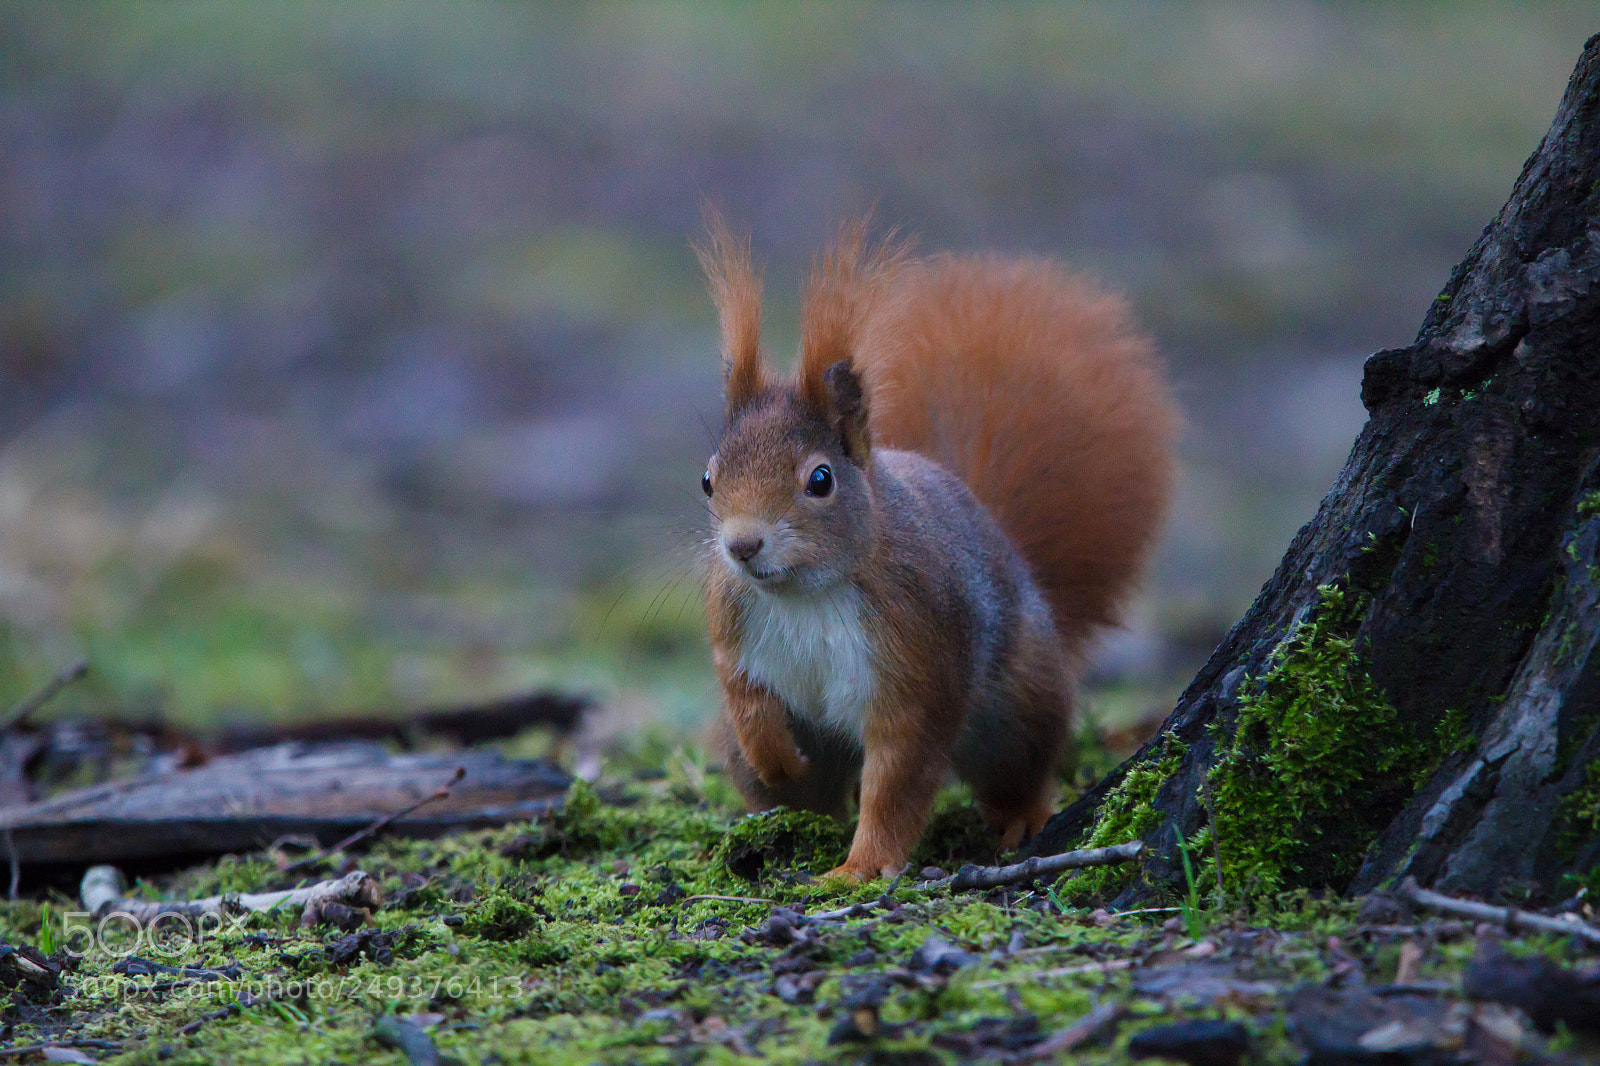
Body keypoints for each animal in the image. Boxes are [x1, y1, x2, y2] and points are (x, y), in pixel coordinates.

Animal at [696, 218, 1179, 881]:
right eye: (708, 479)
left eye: (820, 479)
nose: (742, 546)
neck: (805, 592)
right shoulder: (731, 616)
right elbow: (740, 690)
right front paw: (772, 751)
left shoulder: (919, 657)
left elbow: (899, 777)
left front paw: (860, 869)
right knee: (804, 791)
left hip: (1017, 709)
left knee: (1022, 765)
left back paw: (1020, 817)